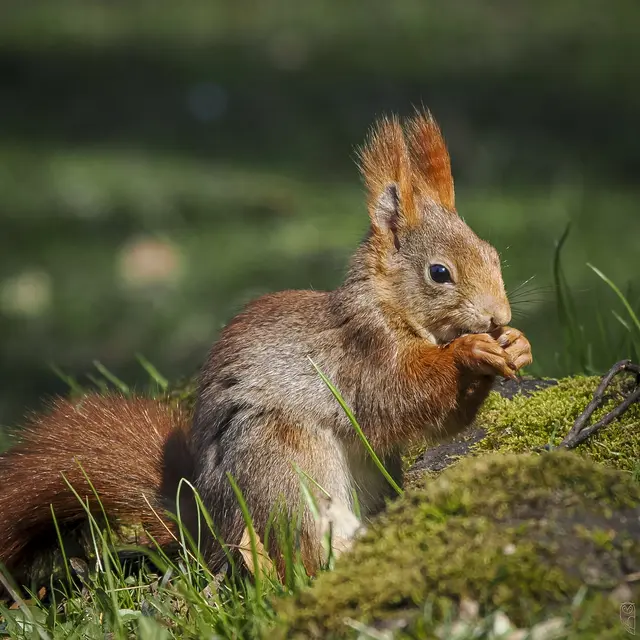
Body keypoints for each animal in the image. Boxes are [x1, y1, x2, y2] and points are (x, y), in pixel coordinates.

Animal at [0, 111, 532, 588]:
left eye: (493, 254)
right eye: (439, 273)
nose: (498, 317)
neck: (389, 308)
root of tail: (209, 528)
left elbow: (443, 422)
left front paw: (517, 346)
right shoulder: (362, 358)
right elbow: (400, 399)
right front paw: (469, 351)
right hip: (280, 469)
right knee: (294, 558)